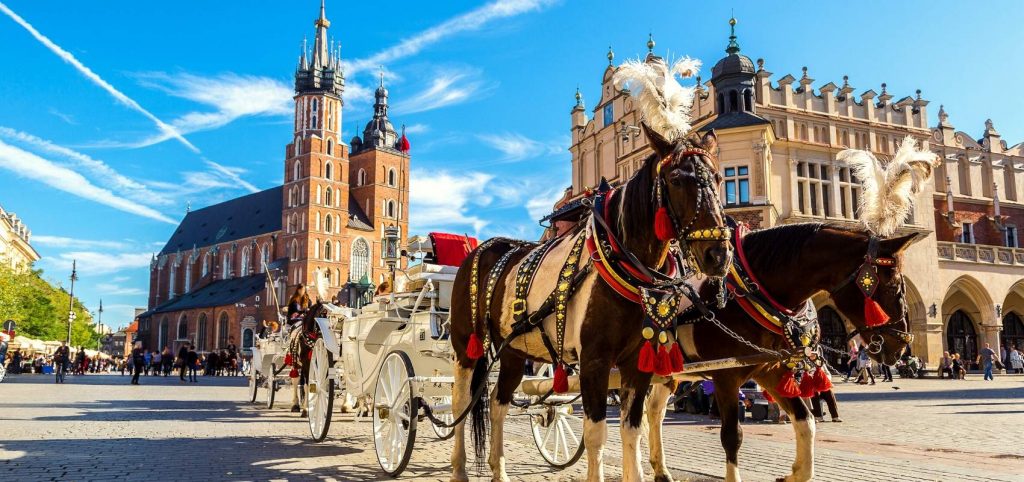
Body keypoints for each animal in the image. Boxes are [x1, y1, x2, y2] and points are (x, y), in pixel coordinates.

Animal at [452, 127, 733, 482]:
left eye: (718, 178)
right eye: (676, 180)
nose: (718, 255)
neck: (621, 263)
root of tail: (479, 249)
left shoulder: (637, 364)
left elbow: (632, 430)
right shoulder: (594, 362)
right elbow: (596, 433)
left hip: (514, 351)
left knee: (497, 403)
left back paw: (499, 471)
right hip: (466, 345)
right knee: (460, 402)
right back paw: (458, 469)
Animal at [643, 223, 917, 482]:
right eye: (894, 287)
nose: (901, 345)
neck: (747, 295)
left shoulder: (769, 370)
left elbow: (806, 420)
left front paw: (794, 474)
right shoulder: (726, 377)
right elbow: (732, 436)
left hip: (667, 373)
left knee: (654, 412)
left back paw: (660, 470)